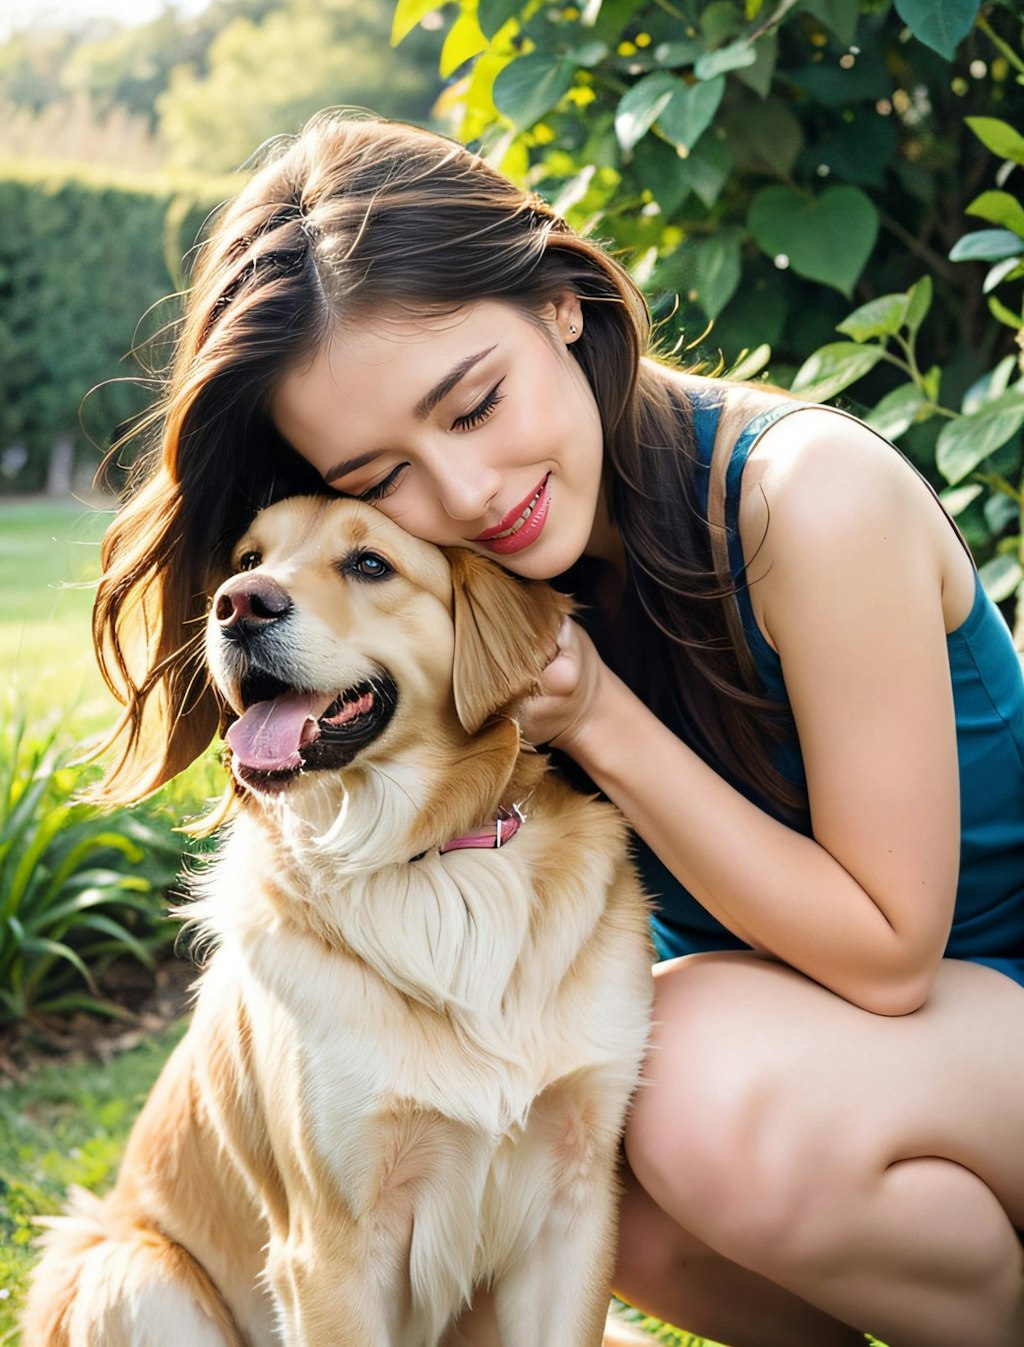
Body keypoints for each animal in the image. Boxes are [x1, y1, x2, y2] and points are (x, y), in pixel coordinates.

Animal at [23, 495, 652, 1347]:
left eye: (371, 563)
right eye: (247, 558)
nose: (237, 604)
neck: (434, 865)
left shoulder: (574, 1204)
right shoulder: (329, 1248)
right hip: (130, 1274)